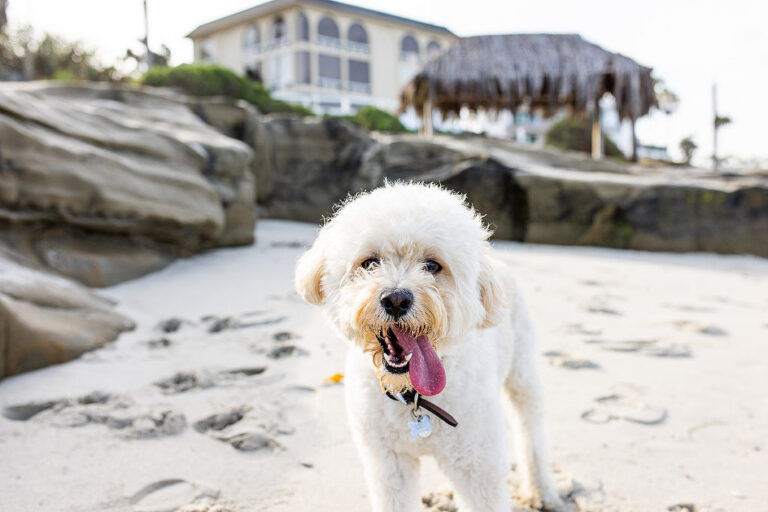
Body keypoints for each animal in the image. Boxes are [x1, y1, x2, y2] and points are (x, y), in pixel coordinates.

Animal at [294, 184, 564, 512]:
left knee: (531, 430)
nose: (396, 299)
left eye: (433, 266)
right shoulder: (389, 465)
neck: (413, 395)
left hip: (522, 373)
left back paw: (542, 490)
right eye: (369, 263)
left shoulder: (478, 466)